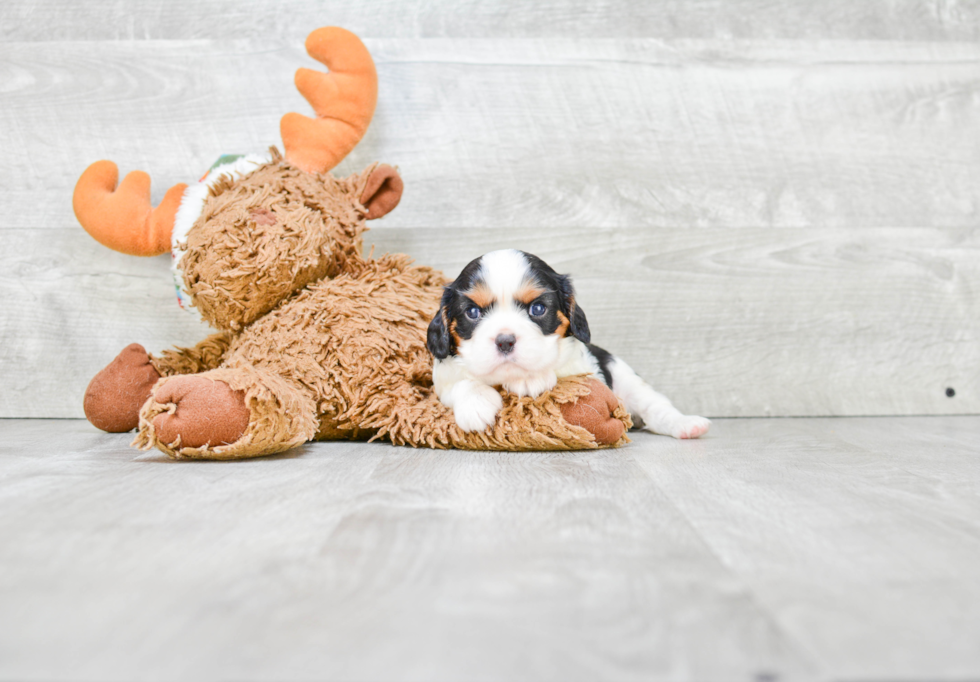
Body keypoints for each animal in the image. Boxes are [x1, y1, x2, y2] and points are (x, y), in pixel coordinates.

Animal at [424, 248, 708, 436]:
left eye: (538, 309)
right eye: (472, 312)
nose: (505, 341)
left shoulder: (584, 368)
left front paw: (530, 378)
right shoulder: (443, 377)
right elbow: (461, 382)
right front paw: (476, 404)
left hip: (628, 381)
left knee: (656, 407)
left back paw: (687, 425)